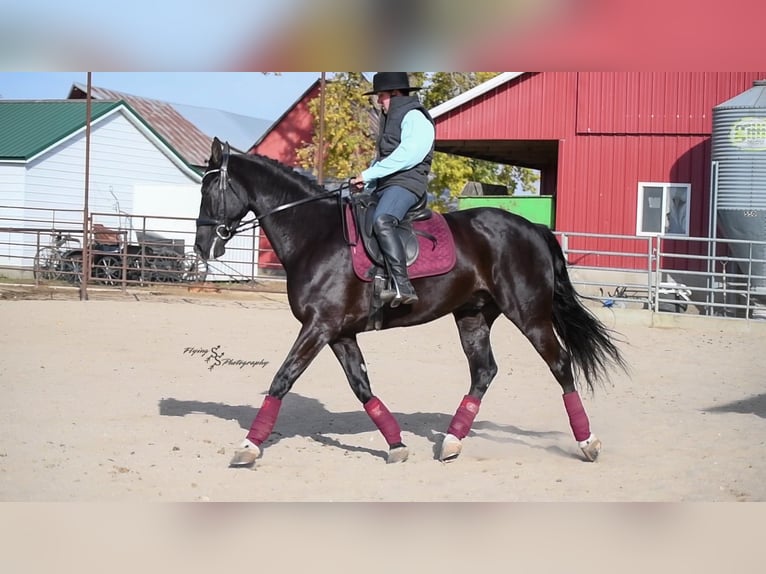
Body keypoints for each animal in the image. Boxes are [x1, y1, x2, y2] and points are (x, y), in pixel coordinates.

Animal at [194, 137, 628, 467]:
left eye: (209, 190)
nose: (202, 247)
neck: (315, 235)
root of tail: (533, 228)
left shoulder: (318, 327)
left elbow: (282, 379)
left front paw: (248, 447)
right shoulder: (339, 333)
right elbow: (362, 386)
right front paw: (397, 445)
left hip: (530, 314)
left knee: (560, 363)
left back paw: (588, 443)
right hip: (473, 316)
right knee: (484, 372)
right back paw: (451, 442)